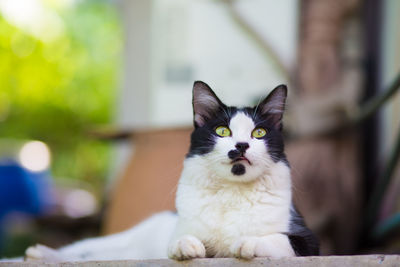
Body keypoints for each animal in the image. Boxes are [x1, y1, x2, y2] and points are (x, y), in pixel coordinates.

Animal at [24, 80, 318, 262]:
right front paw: (186, 246)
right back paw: (39, 254)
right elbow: (179, 240)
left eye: (259, 133)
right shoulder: (180, 231)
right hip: (119, 241)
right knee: (84, 250)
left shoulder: (309, 242)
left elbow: (276, 240)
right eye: (223, 131)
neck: (231, 191)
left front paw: (246, 243)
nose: (242, 145)